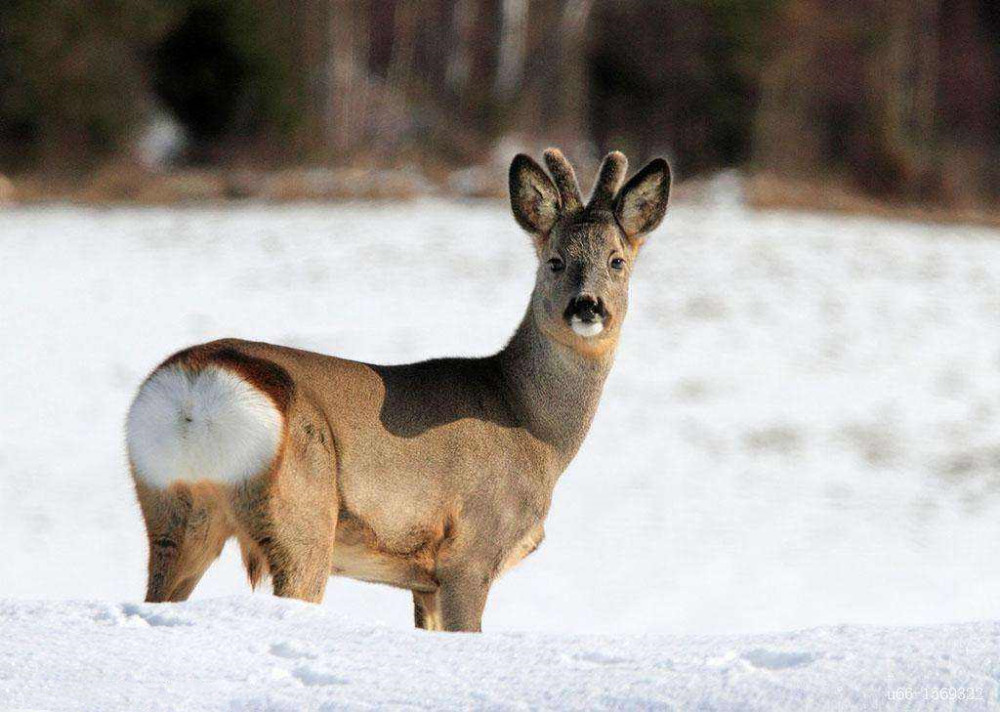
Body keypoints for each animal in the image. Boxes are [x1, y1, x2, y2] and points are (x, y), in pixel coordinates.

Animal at [127, 149, 672, 628]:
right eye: (555, 261)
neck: (529, 424)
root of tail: (195, 390)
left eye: (617, 260)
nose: (588, 306)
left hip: (172, 513)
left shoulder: (422, 579)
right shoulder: (470, 553)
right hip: (303, 512)